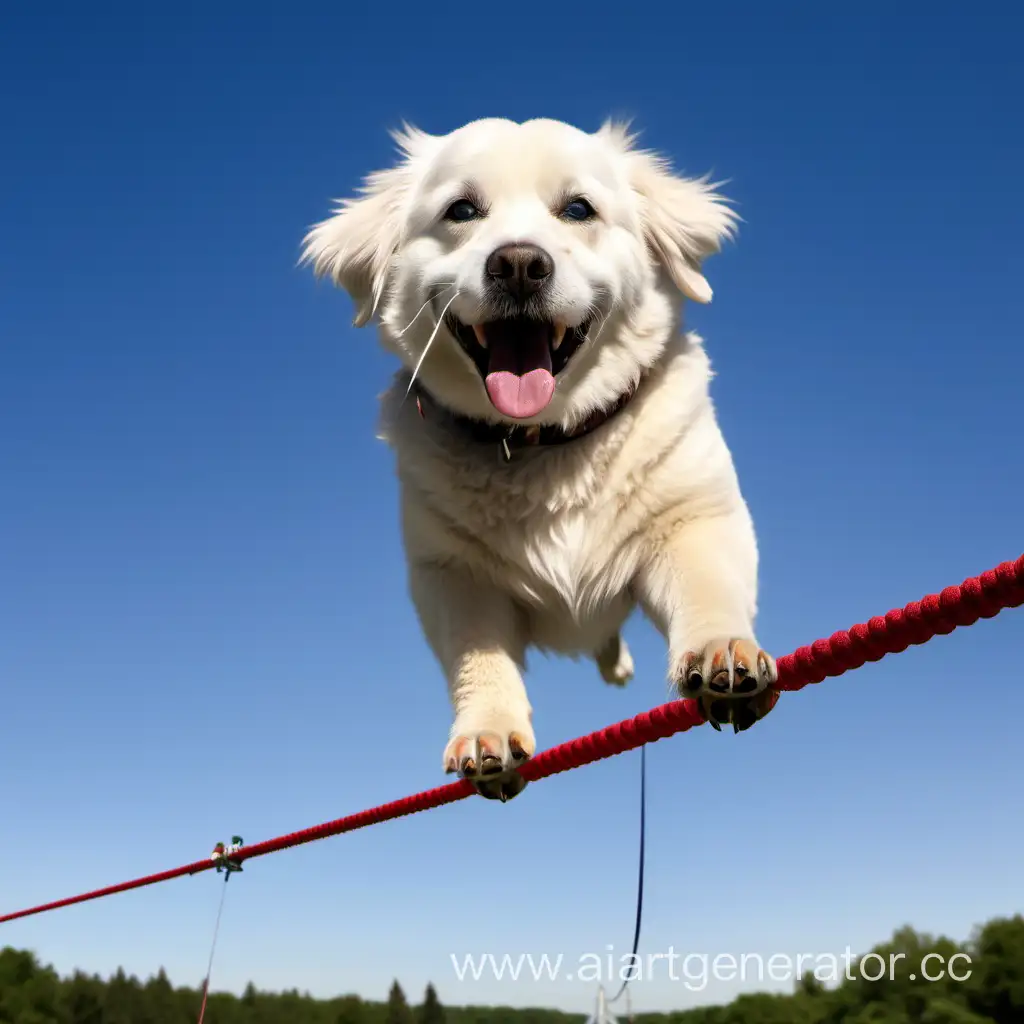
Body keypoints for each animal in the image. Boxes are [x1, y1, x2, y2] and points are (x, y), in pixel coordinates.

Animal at [301, 114, 774, 798]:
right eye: (462, 210)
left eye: (578, 209)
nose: (520, 263)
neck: (543, 444)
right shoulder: (453, 577)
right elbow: (481, 660)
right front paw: (488, 731)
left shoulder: (696, 521)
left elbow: (709, 593)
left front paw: (723, 652)